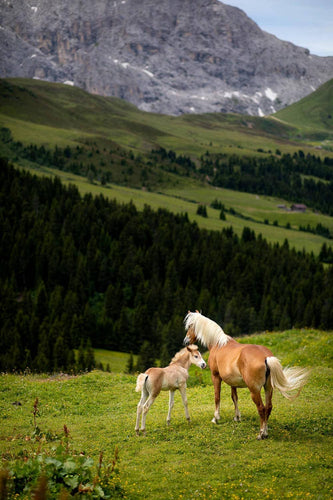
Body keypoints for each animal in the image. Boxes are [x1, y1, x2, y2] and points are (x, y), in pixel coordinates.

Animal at [183, 310, 308, 440]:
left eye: (190, 325)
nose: (186, 341)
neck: (218, 344)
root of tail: (266, 357)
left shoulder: (216, 376)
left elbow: (217, 397)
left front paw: (215, 418)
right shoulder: (232, 382)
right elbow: (234, 397)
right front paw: (237, 417)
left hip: (254, 390)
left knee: (261, 408)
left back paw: (261, 434)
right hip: (268, 388)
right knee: (268, 407)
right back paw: (266, 432)